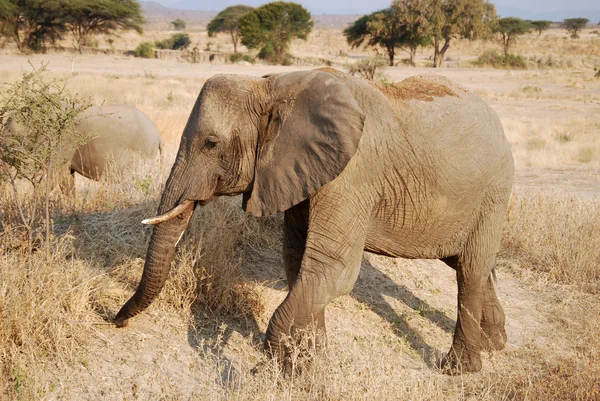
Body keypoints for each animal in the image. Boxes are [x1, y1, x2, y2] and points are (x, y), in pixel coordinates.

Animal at [115, 68, 512, 372]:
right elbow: (298, 263)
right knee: (468, 263)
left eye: (211, 144)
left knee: (470, 269)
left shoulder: (352, 176)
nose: (116, 320)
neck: (271, 86)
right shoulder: (298, 170)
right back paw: (495, 344)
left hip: (493, 192)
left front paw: (278, 371)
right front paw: (311, 363)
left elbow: (330, 270)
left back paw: (460, 369)